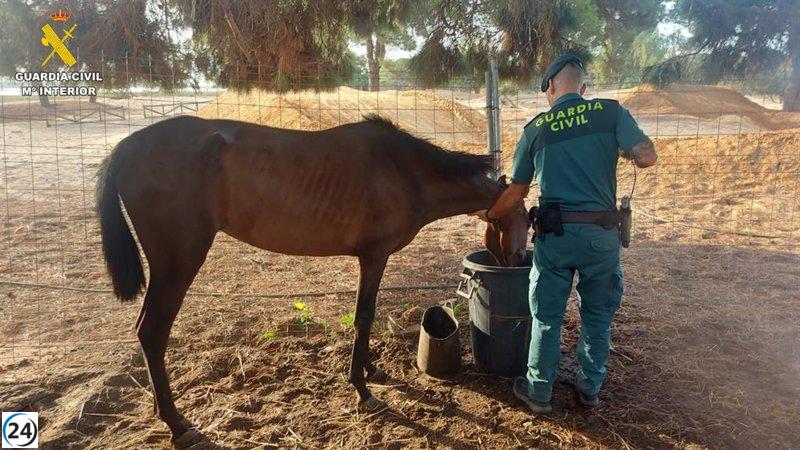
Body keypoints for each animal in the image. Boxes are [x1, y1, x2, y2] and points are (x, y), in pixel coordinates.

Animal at [95, 114, 529, 448]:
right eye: (527, 219)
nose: (517, 263)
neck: (403, 170)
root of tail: (124, 149)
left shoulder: (372, 260)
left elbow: (365, 316)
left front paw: (371, 371)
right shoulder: (374, 257)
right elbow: (364, 317)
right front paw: (362, 389)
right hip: (176, 266)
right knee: (152, 333)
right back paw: (177, 424)